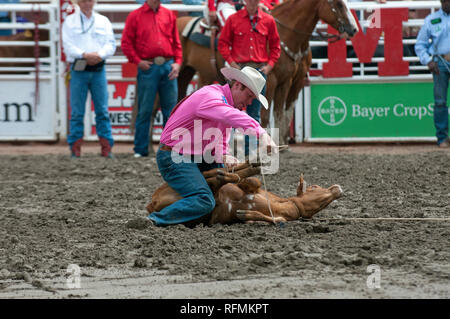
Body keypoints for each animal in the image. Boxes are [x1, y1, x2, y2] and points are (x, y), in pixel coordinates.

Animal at [146, 162, 342, 225]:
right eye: (314, 186)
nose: (337, 188)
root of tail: (150, 204)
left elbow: (277, 220)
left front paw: (245, 214)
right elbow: (254, 183)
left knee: (214, 181)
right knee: (211, 176)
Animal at [176, 0, 358, 144]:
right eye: (339, 4)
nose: (353, 29)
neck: (288, 36)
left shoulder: (292, 82)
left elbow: (283, 112)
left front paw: (283, 142)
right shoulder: (271, 81)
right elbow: (265, 114)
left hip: (192, 74)